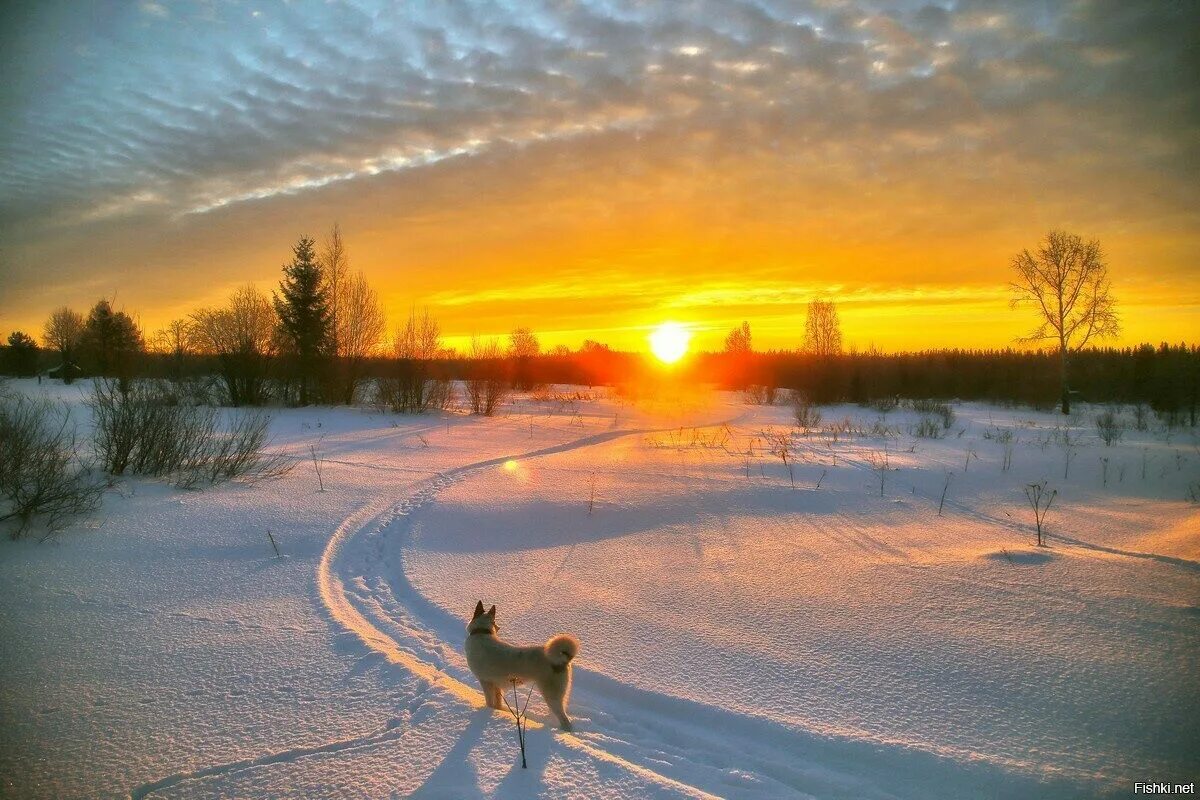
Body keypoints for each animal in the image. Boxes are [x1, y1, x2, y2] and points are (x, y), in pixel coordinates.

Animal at [465, 599, 578, 734]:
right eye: (495, 622)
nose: (498, 627)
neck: (481, 632)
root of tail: (563, 659)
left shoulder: (486, 682)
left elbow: (489, 703)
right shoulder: (497, 687)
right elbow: (497, 704)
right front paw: (498, 711)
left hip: (551, 696)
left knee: (565, 721)